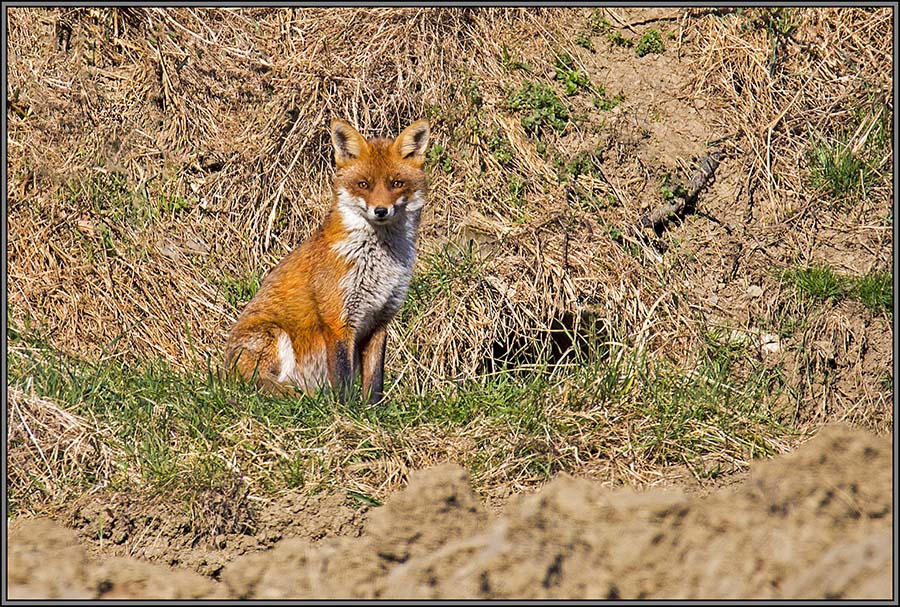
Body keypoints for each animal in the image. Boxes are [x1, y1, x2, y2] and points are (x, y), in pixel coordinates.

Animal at [229, 118, 432, 404]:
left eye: (396, 183)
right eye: (364, 184)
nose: (381, 211)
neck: (378, 264)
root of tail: (223, 372)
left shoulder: (379, 320)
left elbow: (375, 380)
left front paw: (374, 409)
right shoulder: (338, 319)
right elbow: (343, 376)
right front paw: (346, 408)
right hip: (275, 334)